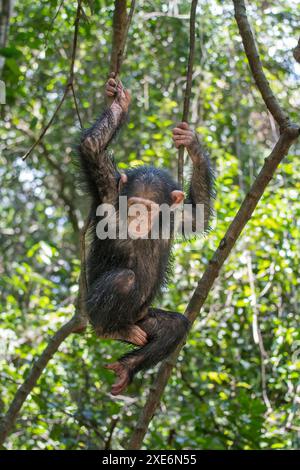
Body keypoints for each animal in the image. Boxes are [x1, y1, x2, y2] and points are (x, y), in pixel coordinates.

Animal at [78, 74, 213, 396]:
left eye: (149, 208)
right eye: (133, 205)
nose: (137, 217)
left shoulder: (176, 217)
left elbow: (199, 214)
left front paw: (191, 142)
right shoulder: (108, 194)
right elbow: (91, 147)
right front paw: (119, 104)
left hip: (144, 318)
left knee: (174, 327)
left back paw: (128, 367)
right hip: (99, 313)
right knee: (123, 279)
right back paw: (110, 329)